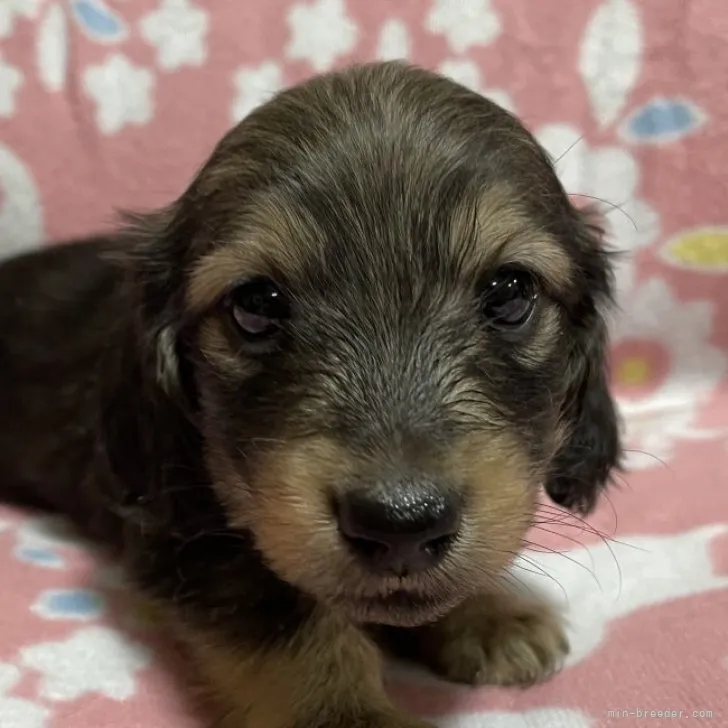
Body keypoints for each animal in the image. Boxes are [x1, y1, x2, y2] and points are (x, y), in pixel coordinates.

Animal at [0, 62, 620, 728]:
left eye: (510, 292)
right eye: (255, 304)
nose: (400, 525)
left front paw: (488, 611)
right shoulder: (187, 536)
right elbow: (290, 626)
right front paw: (349, 714)